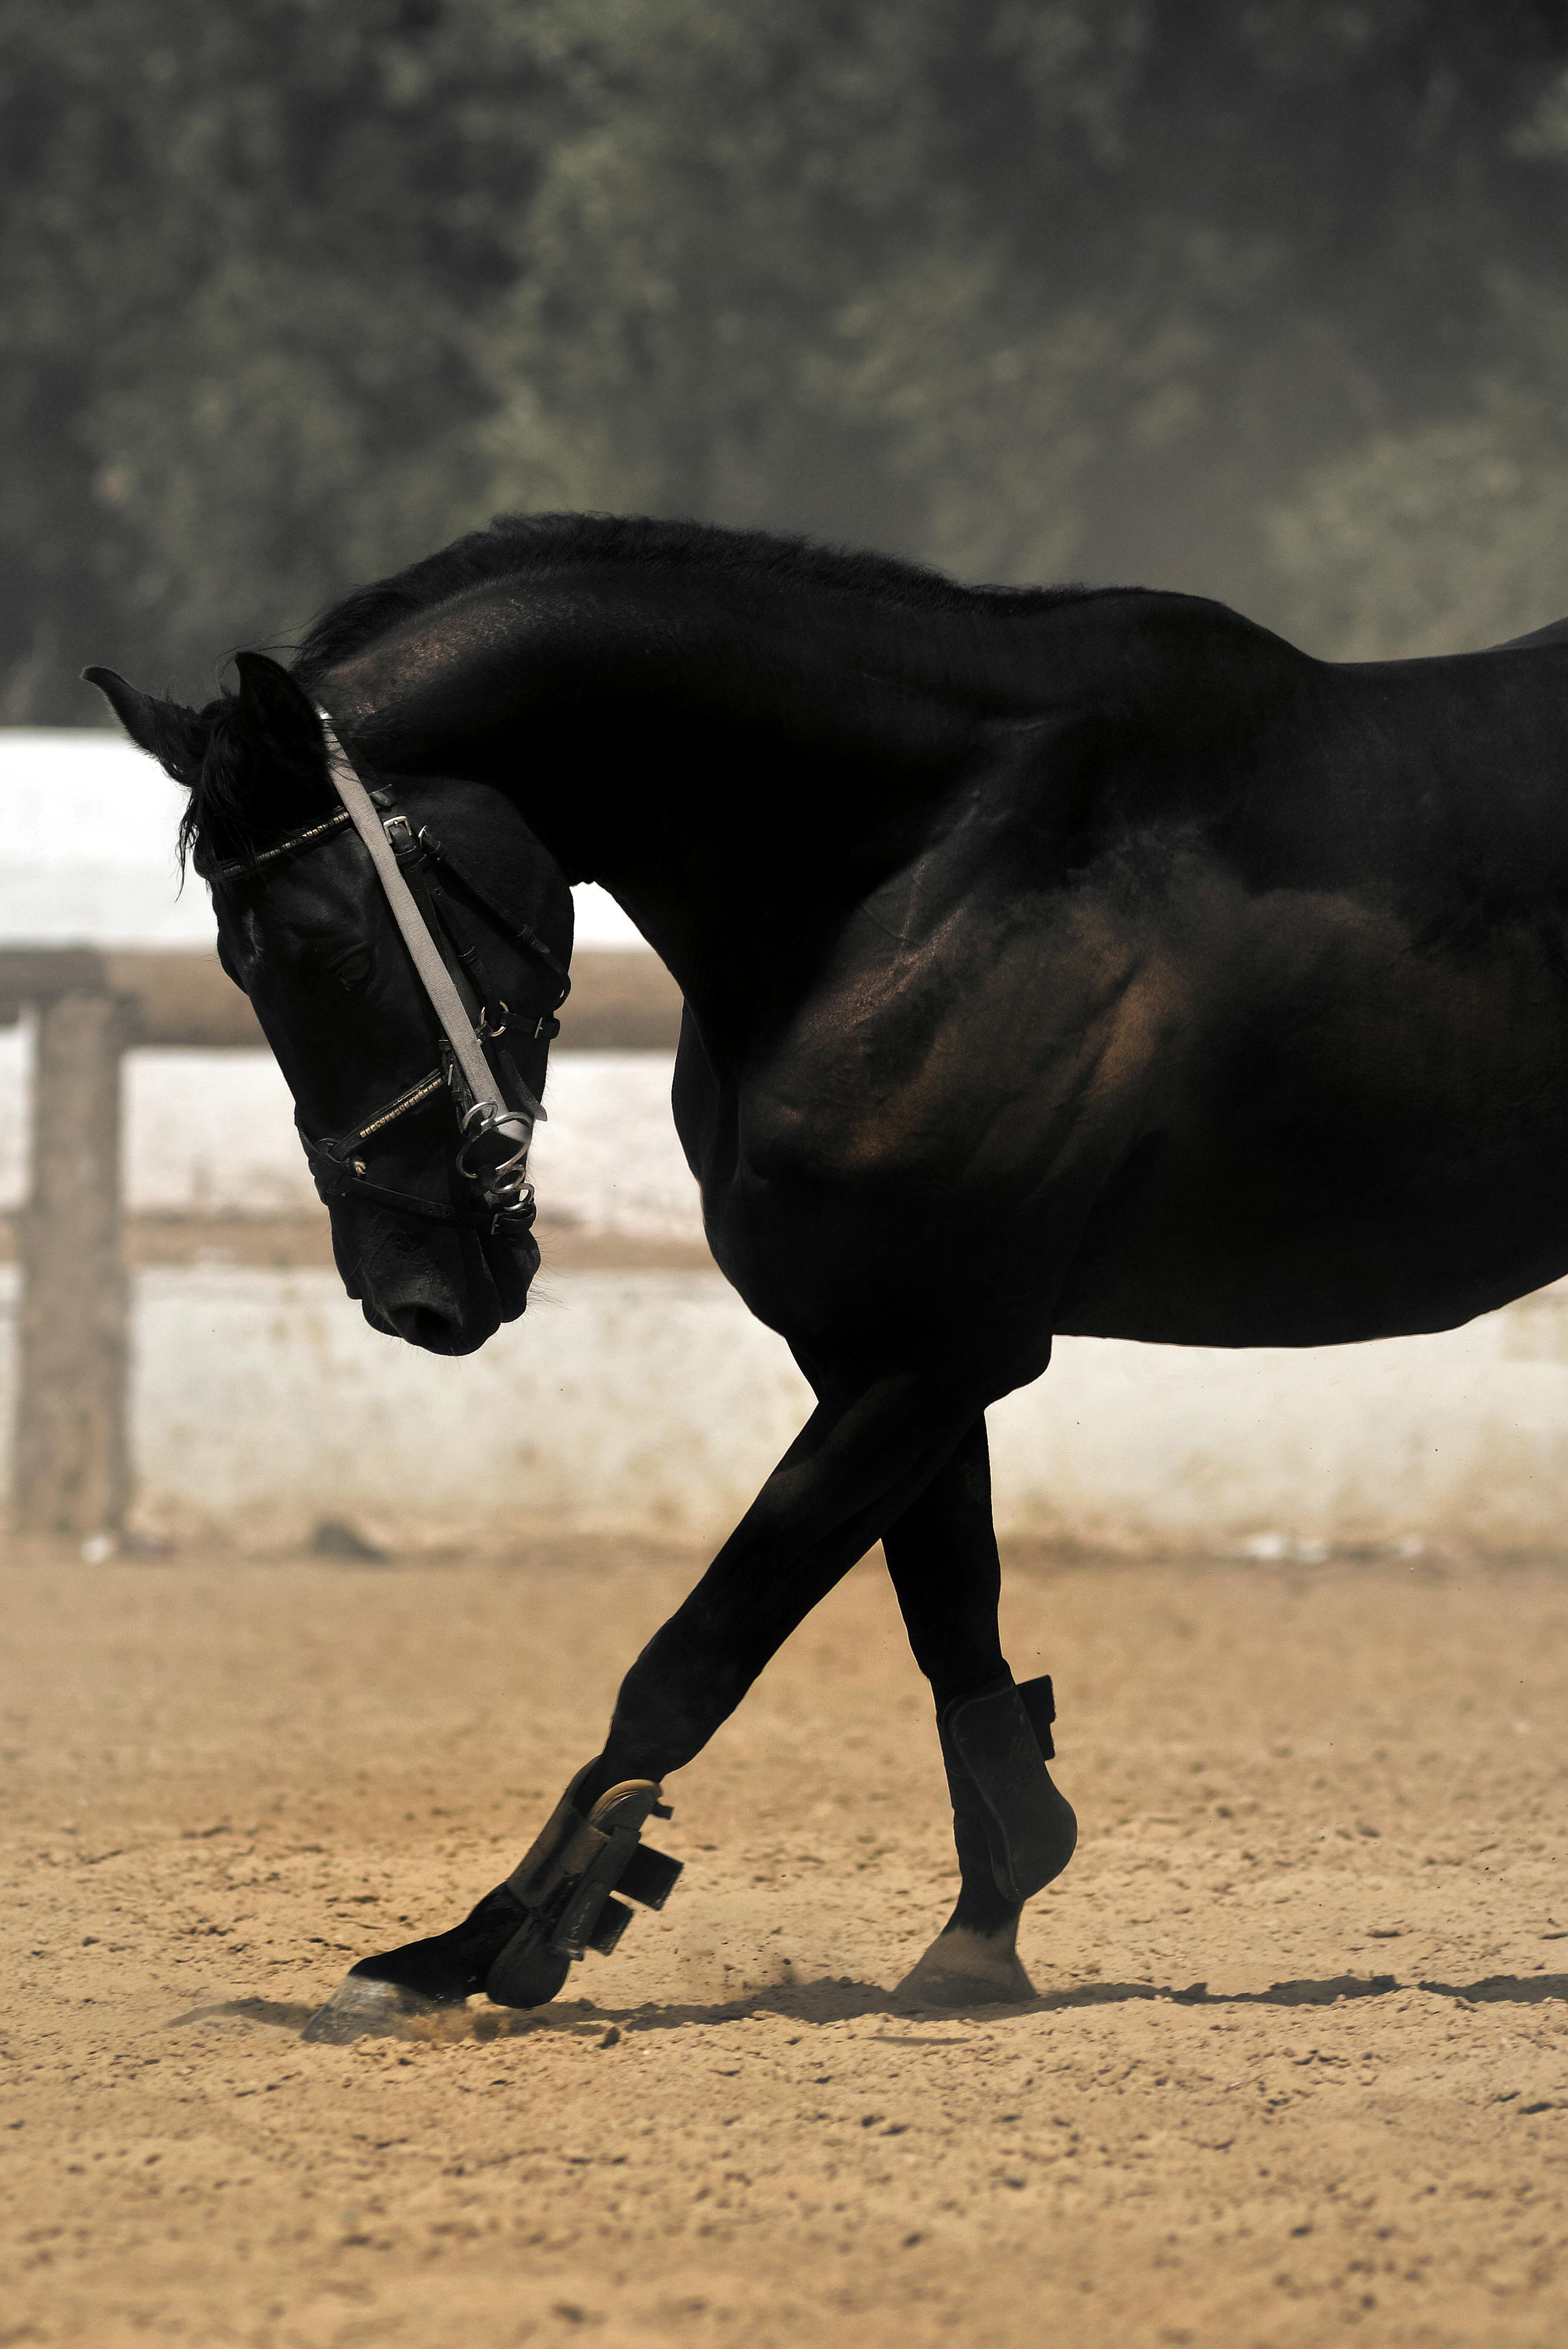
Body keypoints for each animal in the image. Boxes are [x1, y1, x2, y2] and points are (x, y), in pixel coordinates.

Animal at [87, 513, 1568, 2037]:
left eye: (324, 949)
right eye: (235, 964)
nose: (412, 1292)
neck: (928, 868)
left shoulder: (924, 1355)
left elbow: (691, 1655)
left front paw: (486, 1940)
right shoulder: (887, 1349)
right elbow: (953, 1632)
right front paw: (979, 1936)